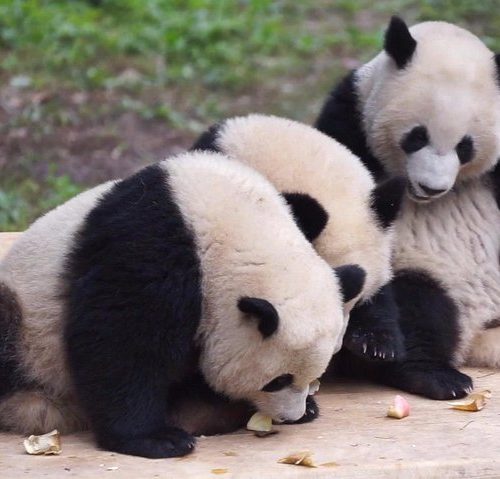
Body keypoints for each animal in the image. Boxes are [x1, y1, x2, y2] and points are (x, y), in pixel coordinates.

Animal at [0, 151, 364, 458]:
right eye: (278, 380)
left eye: (316, 374)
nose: (291, 415)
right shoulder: (149, 248)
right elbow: (121, 341)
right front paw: (155, 438)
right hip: (27, 329)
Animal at [316, 16, 500, 399]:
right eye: (417, 136)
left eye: (465, 147)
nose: (432, 187)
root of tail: (477, 335)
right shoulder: (349, 120)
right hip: (427, 274)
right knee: (416, 306)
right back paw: (432, 374)